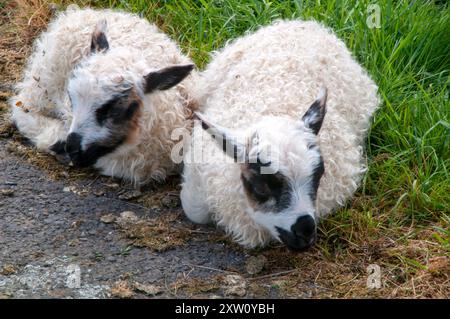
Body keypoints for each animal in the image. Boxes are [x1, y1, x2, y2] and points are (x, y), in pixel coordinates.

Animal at [9, 6, 197, 185]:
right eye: (71, 98)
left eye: (114, 108)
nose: (72, 149)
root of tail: (82, 12)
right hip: (43, 81)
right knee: (22, 108)